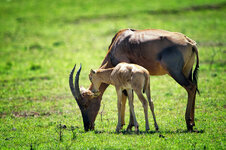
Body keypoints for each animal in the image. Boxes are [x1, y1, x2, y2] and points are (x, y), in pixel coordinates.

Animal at [69, 28, 200, 132]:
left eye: (85, 104)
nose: (87, 127)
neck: (119, 41)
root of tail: (190, 43)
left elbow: (125, 98)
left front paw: (127, 126)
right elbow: (128, 99)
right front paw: (127, 125)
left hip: (175, 73)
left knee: (190, 87)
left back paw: (188, 123)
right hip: (186, 71)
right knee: (193, 87)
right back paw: (192, 122)